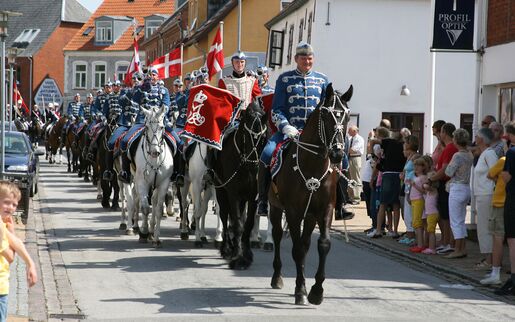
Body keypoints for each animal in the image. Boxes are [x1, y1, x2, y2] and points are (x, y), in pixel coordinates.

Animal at [132, 104, 174, 248]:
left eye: (161, 127)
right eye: (146, 128)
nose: (155, 151)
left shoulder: (164, 183)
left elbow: (159, 210)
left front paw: (156, 237)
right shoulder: (142, 182)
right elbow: (145, 208)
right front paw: (143, 233)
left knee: (155, 202)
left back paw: (151, 230)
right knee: (136, 199)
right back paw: (136, 227)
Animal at [215, 100, 270, 270]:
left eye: (263, 137)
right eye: (246, 135)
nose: (254, 166)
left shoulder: (253, 197)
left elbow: (247, 223)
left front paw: (246, 254)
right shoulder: (232, 194)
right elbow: (238, 224)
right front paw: (237, 257)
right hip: (221, 192)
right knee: (224, 216)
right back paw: (227, 248)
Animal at [268, 83, 352, 304]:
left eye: (348, 117)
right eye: (326, 116)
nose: (338, 153)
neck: (312, 166)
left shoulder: (324, 211)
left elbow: (323, 244)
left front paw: (316, 291)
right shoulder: (293, 212)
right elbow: (297, 250)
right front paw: (300, 290)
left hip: (310, 216)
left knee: (305, 244)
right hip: (274, 206)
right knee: (277, 235)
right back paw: (277, 277)